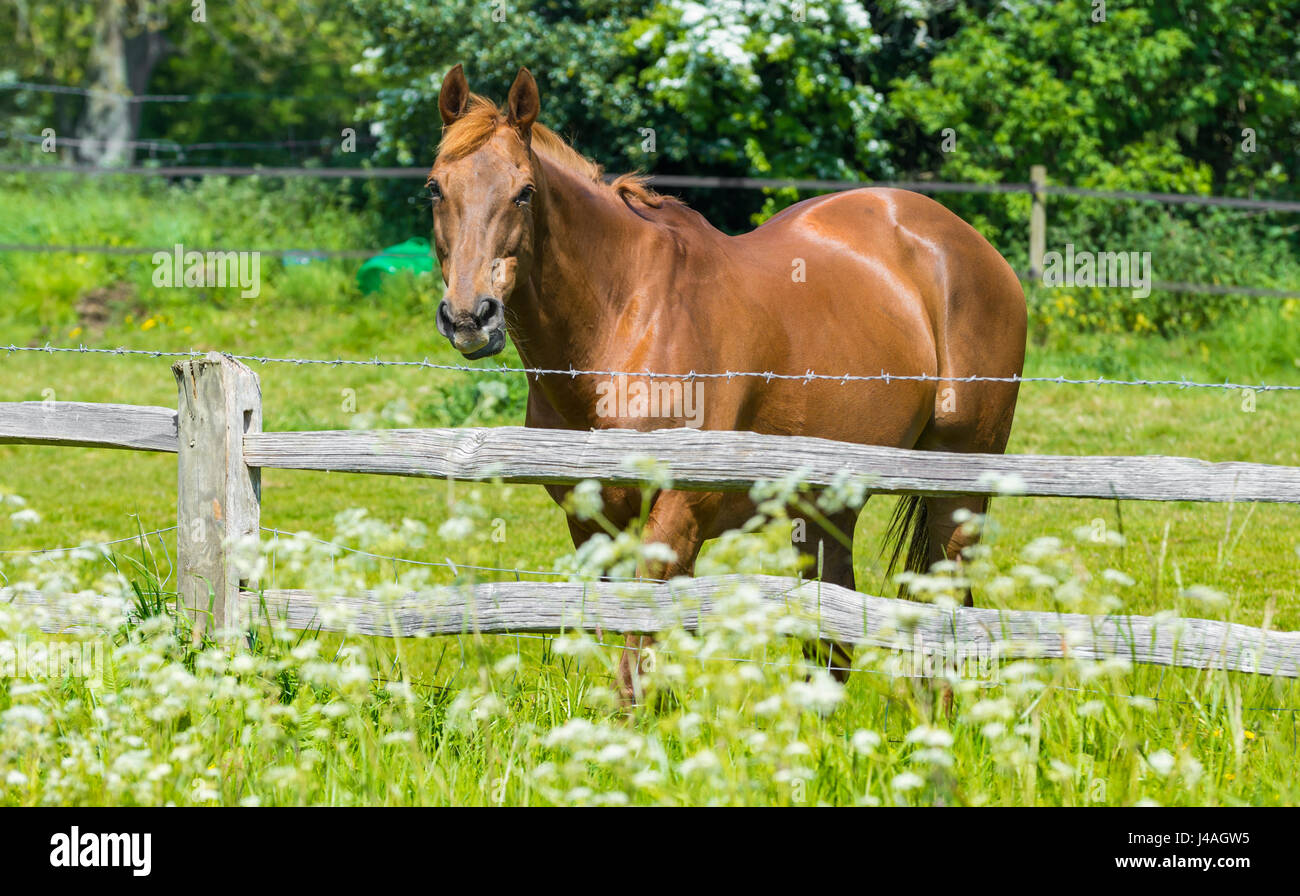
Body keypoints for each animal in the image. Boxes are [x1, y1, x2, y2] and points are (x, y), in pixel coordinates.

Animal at [426, 65, 1027, 702]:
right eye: (435, 188)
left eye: (524, 192)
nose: (469, 317)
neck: (623, 318)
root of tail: (966, 245)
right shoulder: (591, 525)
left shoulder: (677, 518)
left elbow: (639, 659)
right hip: (825, 505)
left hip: (958, 487)